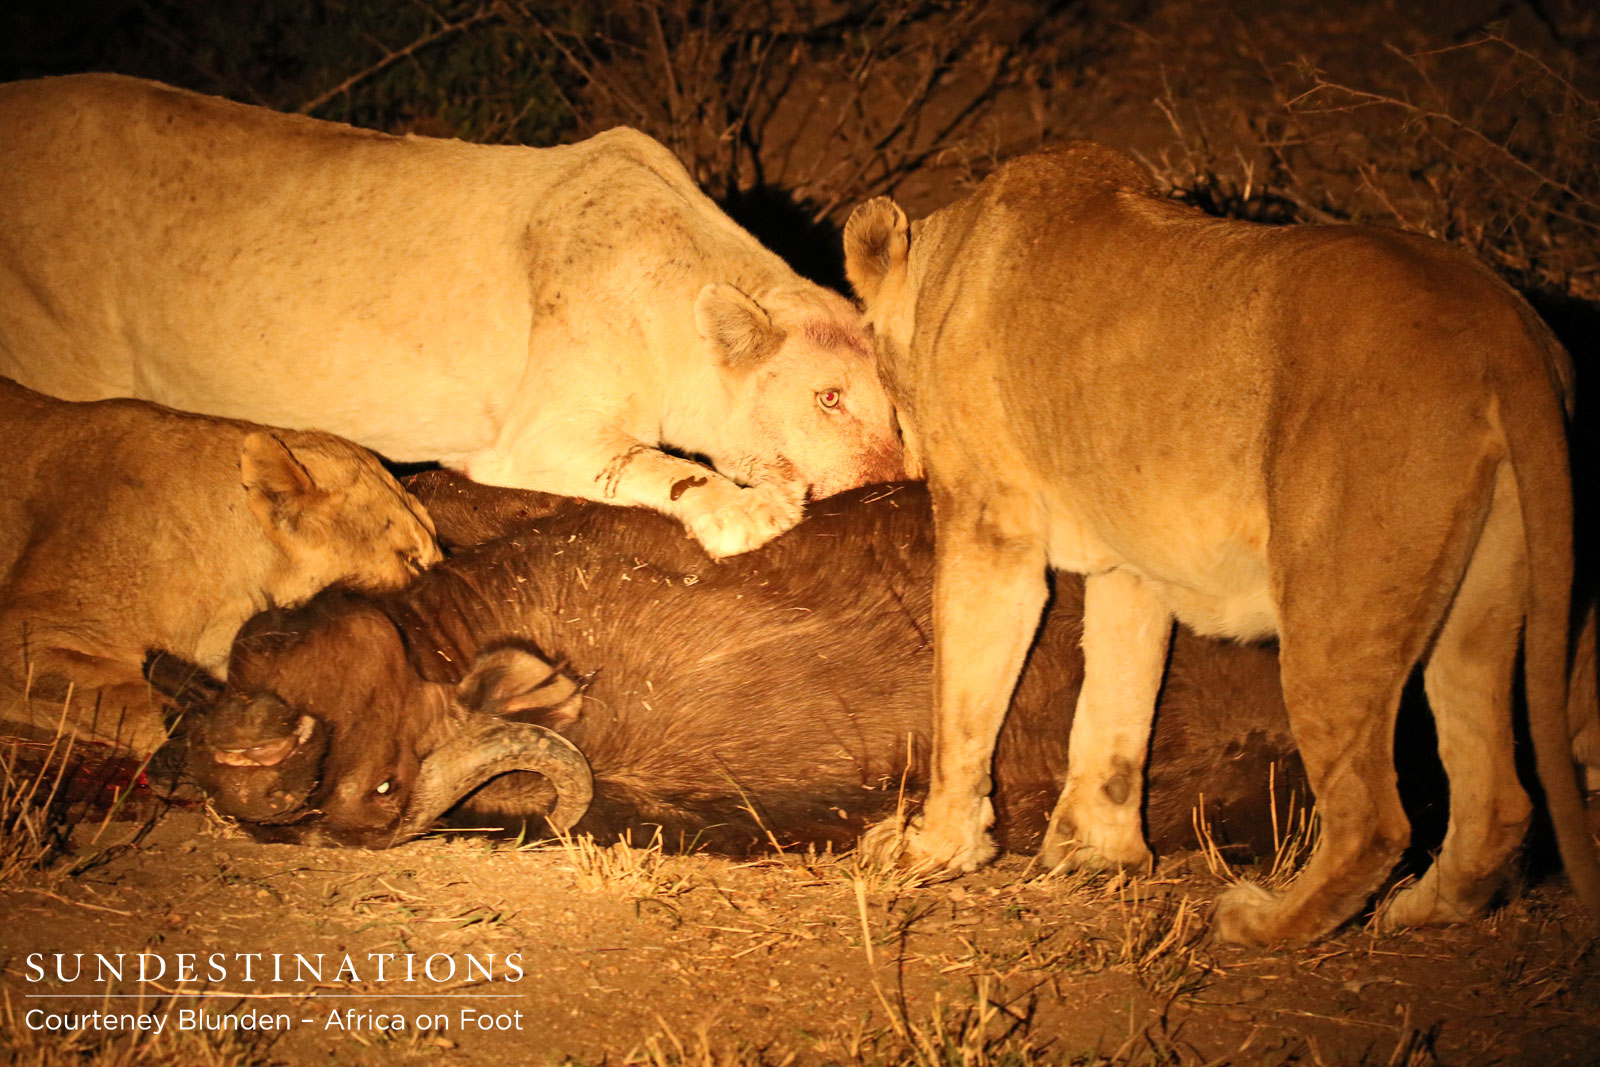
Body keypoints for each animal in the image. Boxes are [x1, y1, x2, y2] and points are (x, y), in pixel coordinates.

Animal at [0, 74, 901, 559]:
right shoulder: (531, 438)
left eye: (897, 407)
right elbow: (654, 465)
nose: (895, 483)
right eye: (828, 398)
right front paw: (745, 509)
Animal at [840, 142, 1598, 945]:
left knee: (1373, 817)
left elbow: (963, 700)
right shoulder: (1130, 558)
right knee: (1497, 801)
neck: (945, 267)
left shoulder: (991, 525)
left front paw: (932, 848)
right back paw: (1422, 909)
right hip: (1479, 606)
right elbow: (1117, 700)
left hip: (1335, 606)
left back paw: (1262, 922)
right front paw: (1102, 851)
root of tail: (1503, 329)